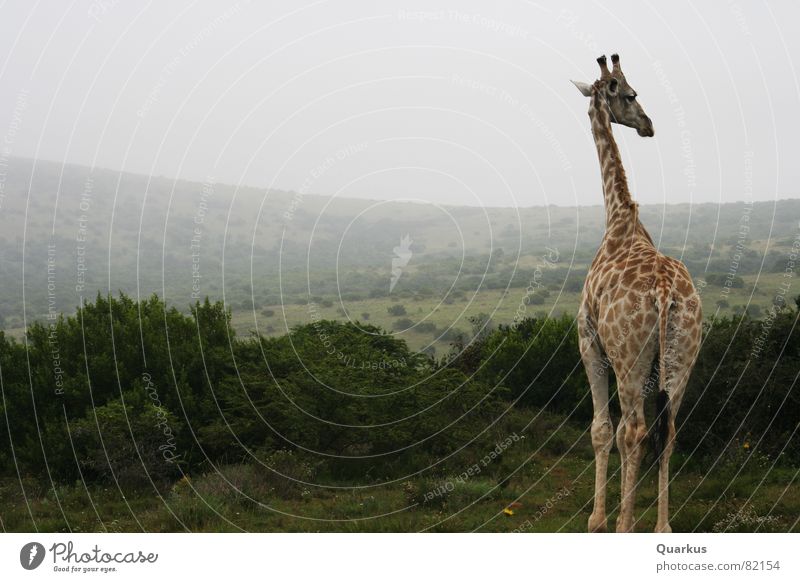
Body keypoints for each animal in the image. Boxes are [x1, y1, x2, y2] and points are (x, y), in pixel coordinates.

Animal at [572, 54, 704, 532]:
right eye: (630, 95)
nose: (647, 125)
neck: (618, 221)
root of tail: (664, 293)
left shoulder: (589, 341)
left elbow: (600, 429)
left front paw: (596, 519)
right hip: (683, 354)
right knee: (668, 432)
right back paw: (662, 526)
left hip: (629, 358)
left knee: (633, 430)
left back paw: (623, 525)